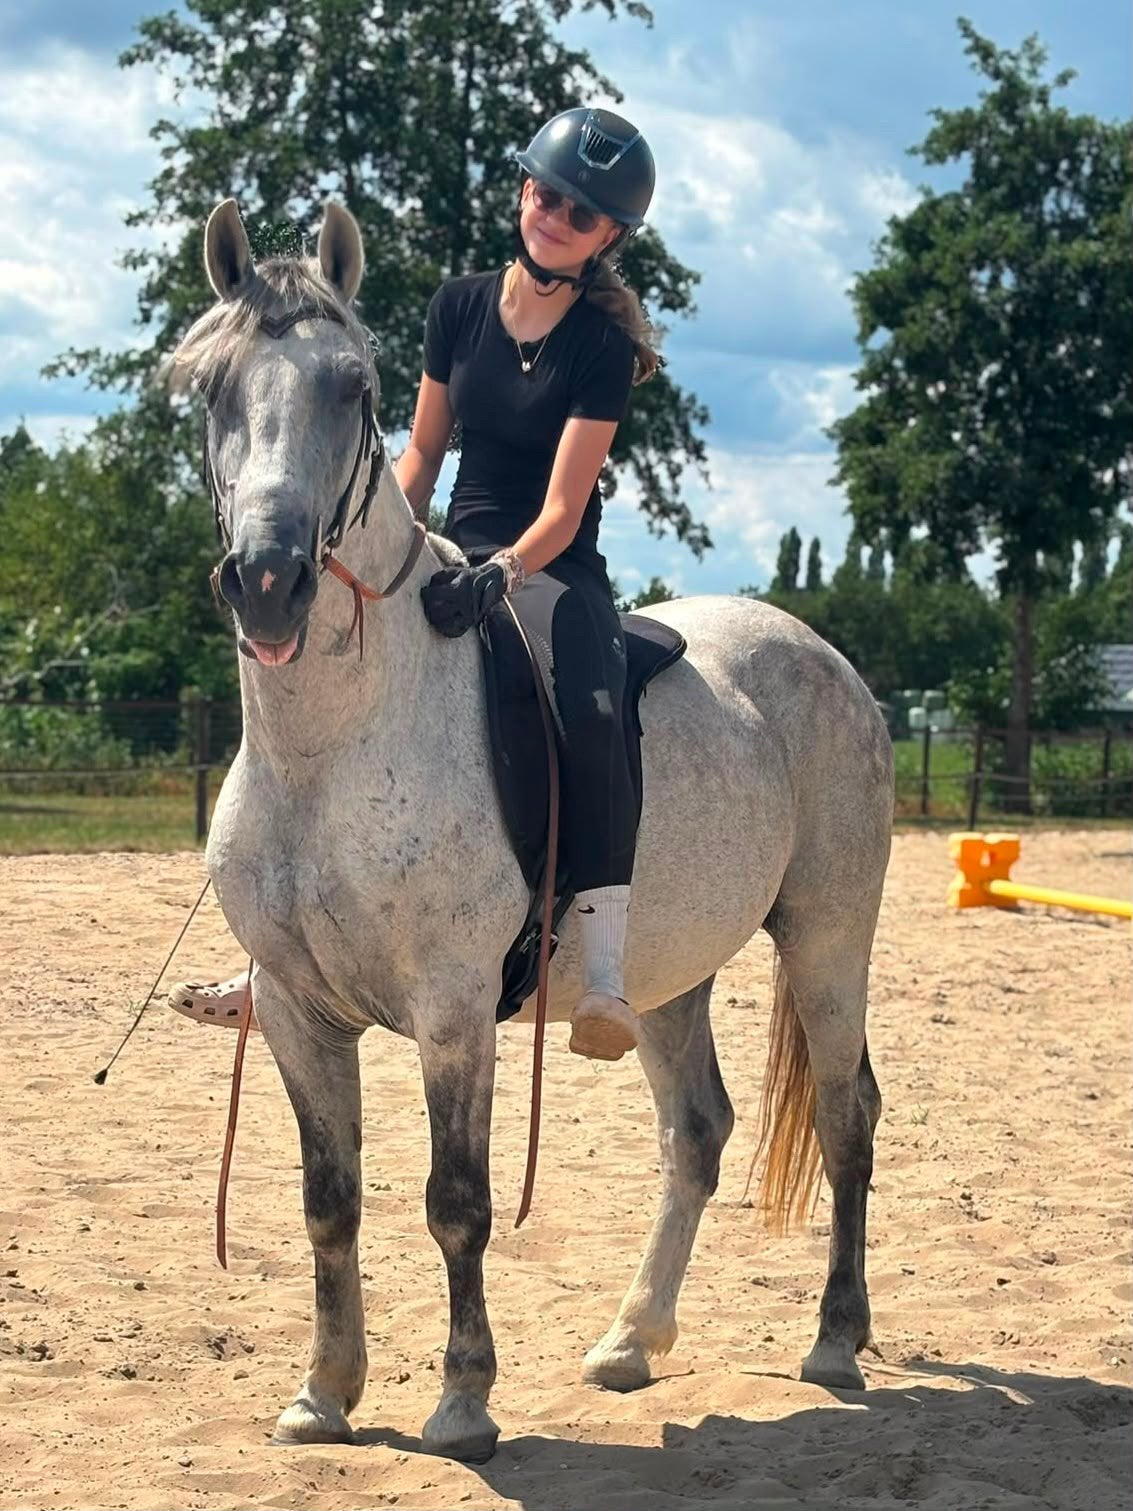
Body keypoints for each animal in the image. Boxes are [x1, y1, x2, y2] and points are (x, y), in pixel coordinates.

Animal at [172, 197, 894, 1463]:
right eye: (211, 386)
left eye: (354, 388)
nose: (267, 581)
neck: (331, 749)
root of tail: (820, 656)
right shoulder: (299, 1014)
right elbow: (329, 1202)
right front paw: (323, 1392)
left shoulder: (454, 1007)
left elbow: (454, 1201)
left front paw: (462, 1401)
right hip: (669, 977)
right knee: (695, 1131)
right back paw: (629, 1340)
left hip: (824, 936)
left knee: (848, 1115)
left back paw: (833, 1339)